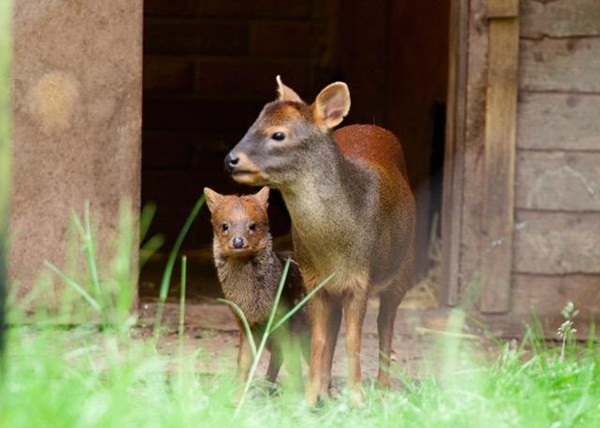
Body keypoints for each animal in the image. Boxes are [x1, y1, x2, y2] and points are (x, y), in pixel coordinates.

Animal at [223, 77, 414, 404]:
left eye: (279, 134)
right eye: (253, 124)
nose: (231, 160)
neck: (333, 249)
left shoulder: (360, 279)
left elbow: (354, 339)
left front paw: (356, 398)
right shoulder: (314, 281)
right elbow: (321, 339)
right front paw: (311, 397)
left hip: (402, 270)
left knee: (385, 324)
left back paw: (383, 387)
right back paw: (326, 390)